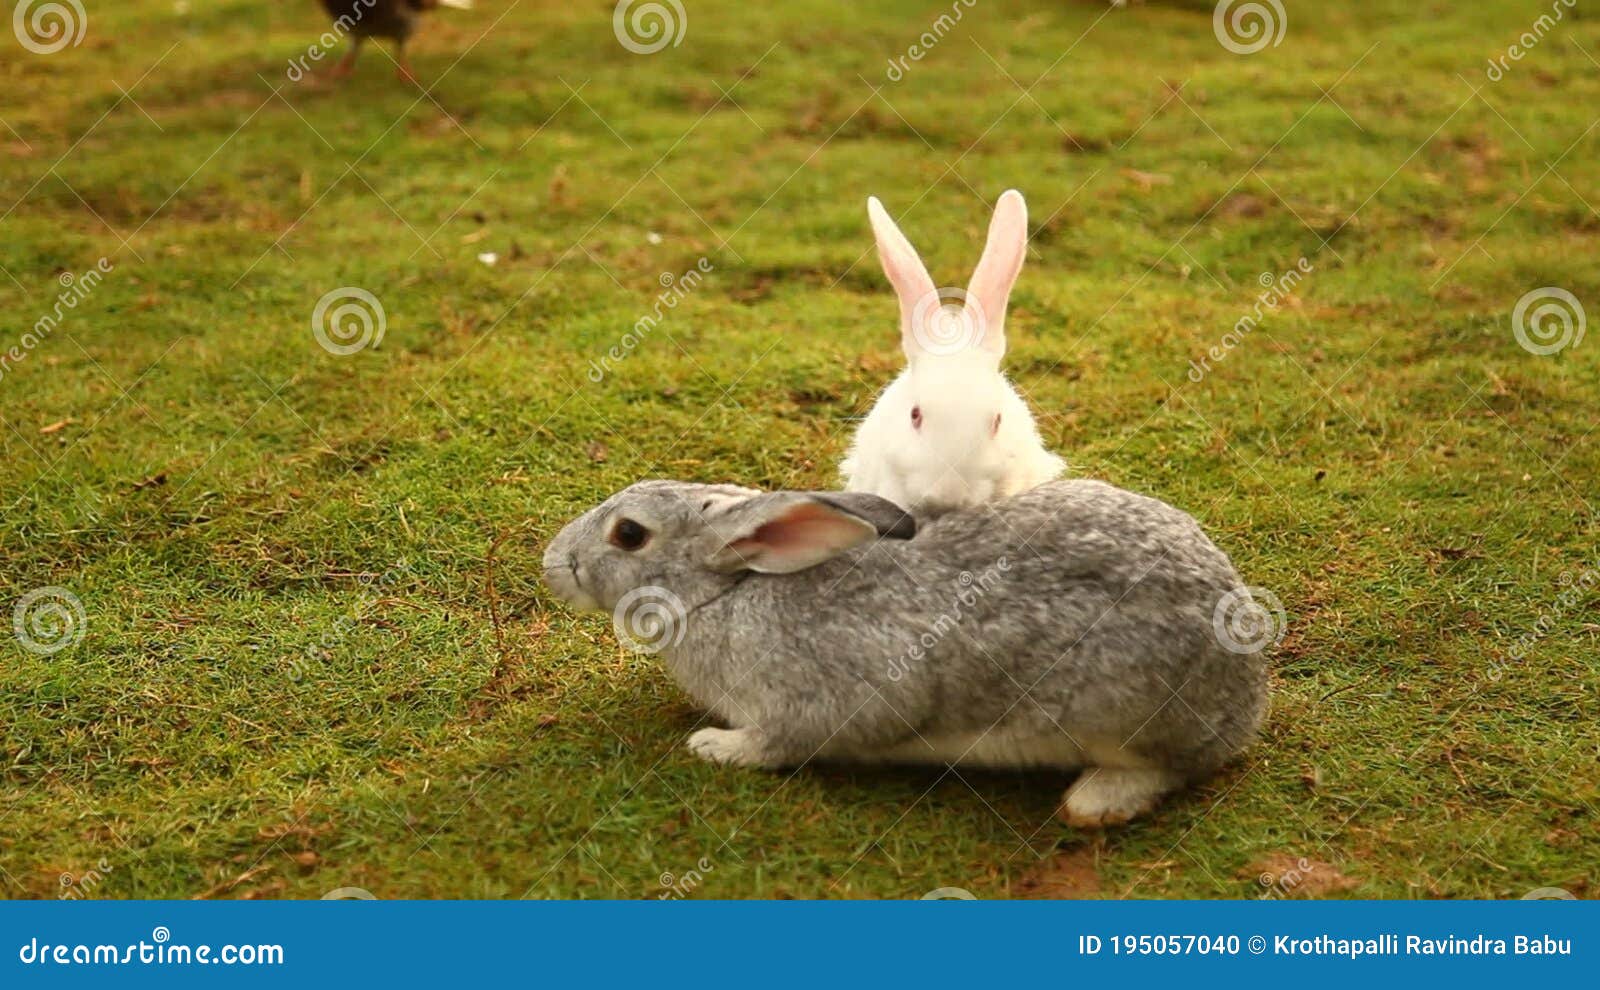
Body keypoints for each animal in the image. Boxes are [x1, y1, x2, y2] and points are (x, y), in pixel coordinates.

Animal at [542, 478, 1269, 826]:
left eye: (629, 535)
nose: (551, 563)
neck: (725, 592)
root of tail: (1248, 692)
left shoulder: (822, 701)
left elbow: (781, 743)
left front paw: (715, 747)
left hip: (1120, 710)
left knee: (1172, 766)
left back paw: (1095, 803)